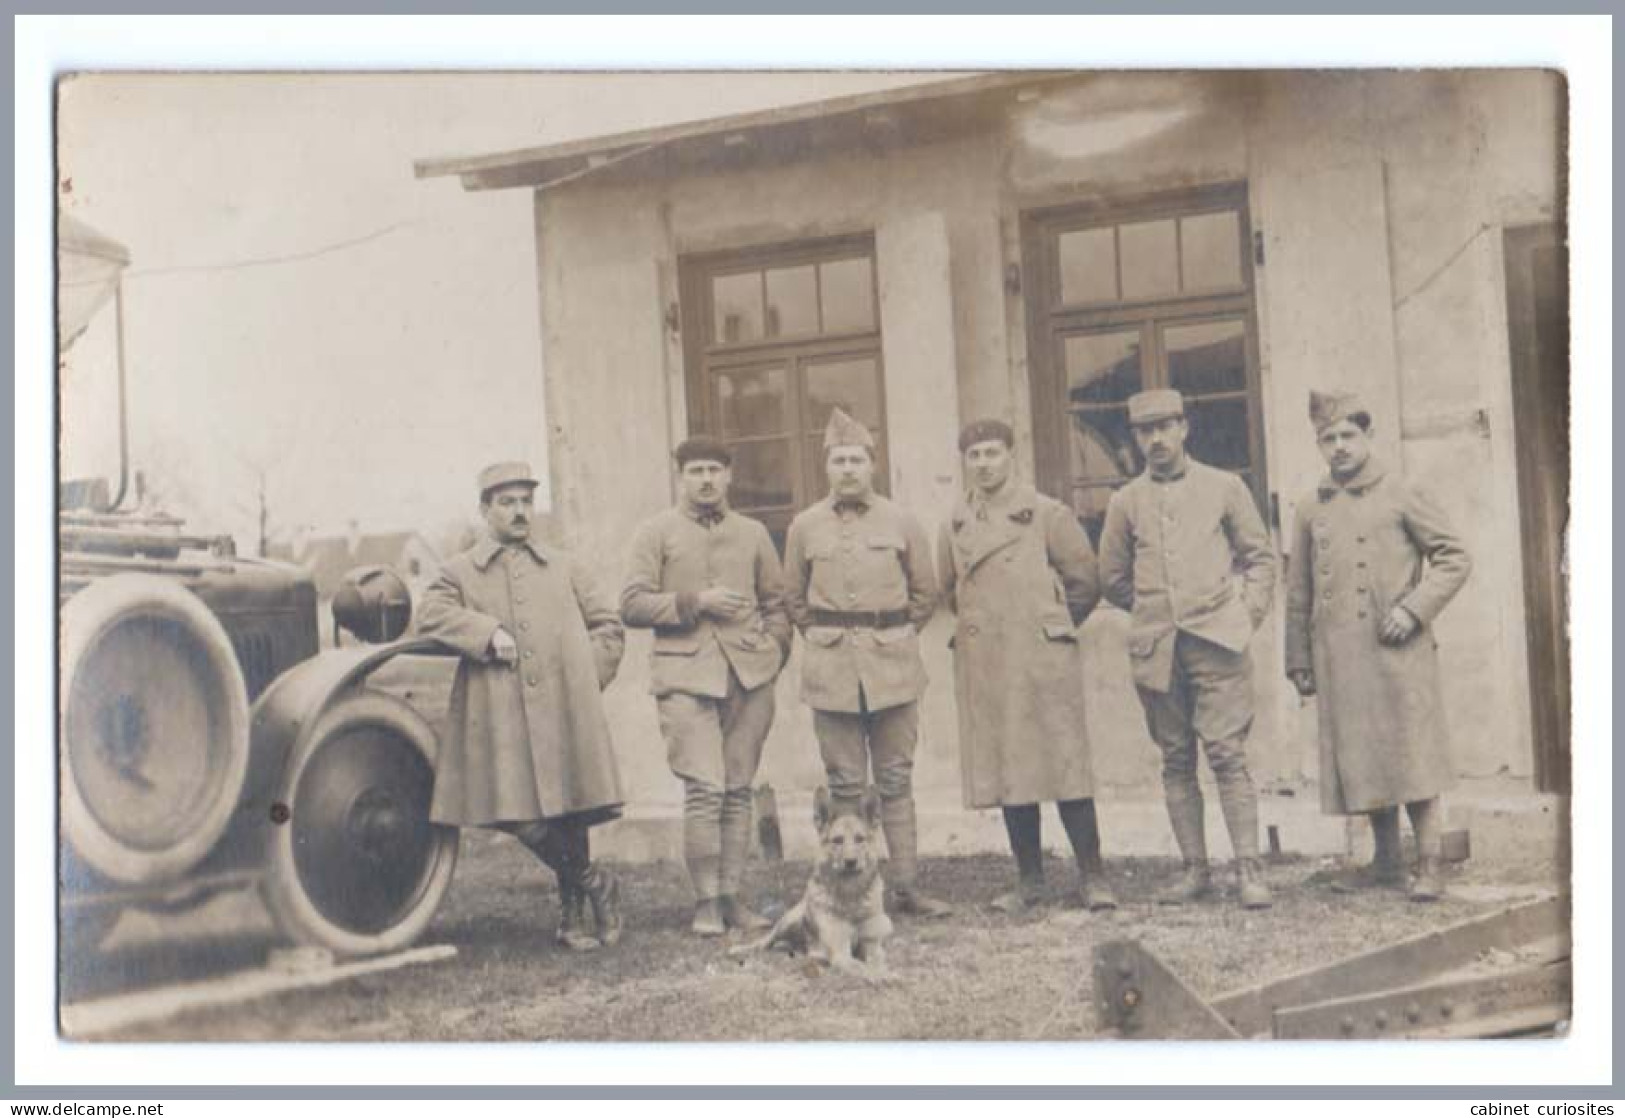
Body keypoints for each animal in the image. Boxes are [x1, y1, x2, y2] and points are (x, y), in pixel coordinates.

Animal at [731, 786, 897, 975]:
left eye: (860, 839)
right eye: (837, 840)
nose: (850, 862)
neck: (850, 895)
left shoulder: (873, 946)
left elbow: (877, 963)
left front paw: (886, 973)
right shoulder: (841, 953)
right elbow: (863, 967)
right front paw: (879, 975)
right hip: (787, 921)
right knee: (764, 941)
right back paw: (743, 949)